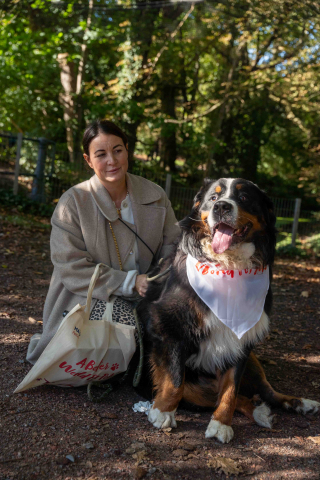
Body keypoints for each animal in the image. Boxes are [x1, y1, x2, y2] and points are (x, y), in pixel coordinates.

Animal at [136, 178, 318, 444]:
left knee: (264, 392)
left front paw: (221, 424)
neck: (228, 267)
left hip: (253, 362)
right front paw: (163, 412)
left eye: (243, 198)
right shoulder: (168, 324)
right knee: (211, 394)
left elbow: (230, 390)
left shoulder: (241, 340)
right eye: (213, 197)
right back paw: (261, 411)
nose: (221, 206)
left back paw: (299, 404)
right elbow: (175, 379)